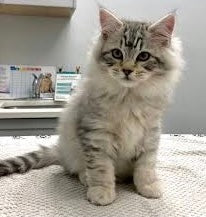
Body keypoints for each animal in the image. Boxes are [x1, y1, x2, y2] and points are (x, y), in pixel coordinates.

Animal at [0, 8, 183, 205]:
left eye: (143, 56)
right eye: (117, 53)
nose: (127, 70)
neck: (128, 97)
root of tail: (60, 151)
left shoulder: (150, 134)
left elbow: (146, 167)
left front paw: (148, 187)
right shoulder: (96, 135)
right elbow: (101, 168)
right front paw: (101, 192)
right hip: (73, 150)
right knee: (76, 169)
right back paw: (87, 178)